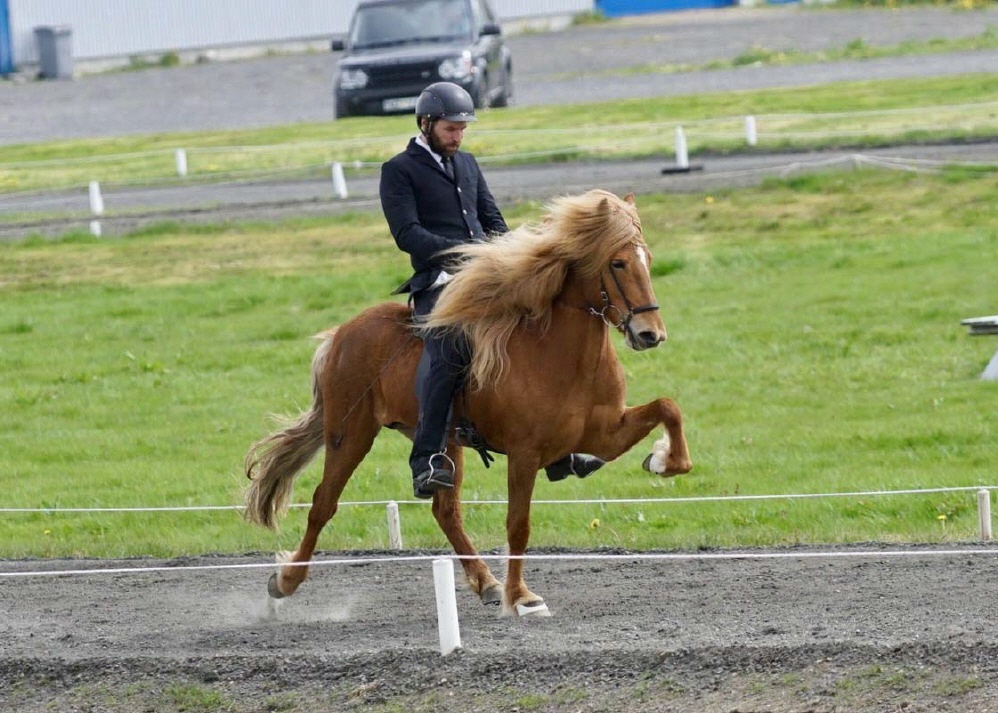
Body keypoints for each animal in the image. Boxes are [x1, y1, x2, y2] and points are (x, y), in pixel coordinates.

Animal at [244, 189, 696, 616]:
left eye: (648, 259)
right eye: (618, 263)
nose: (650, 334)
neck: (561, 357)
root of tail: (341, 333)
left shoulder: (602, 435)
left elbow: (668, 407)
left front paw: (663, 461)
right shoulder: (525, 453)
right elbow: (518, 524)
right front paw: (523, 598)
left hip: (444, 441)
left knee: (445, 511)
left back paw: (487, 583)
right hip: (350, 434)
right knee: (323, 503)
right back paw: (283, 582)